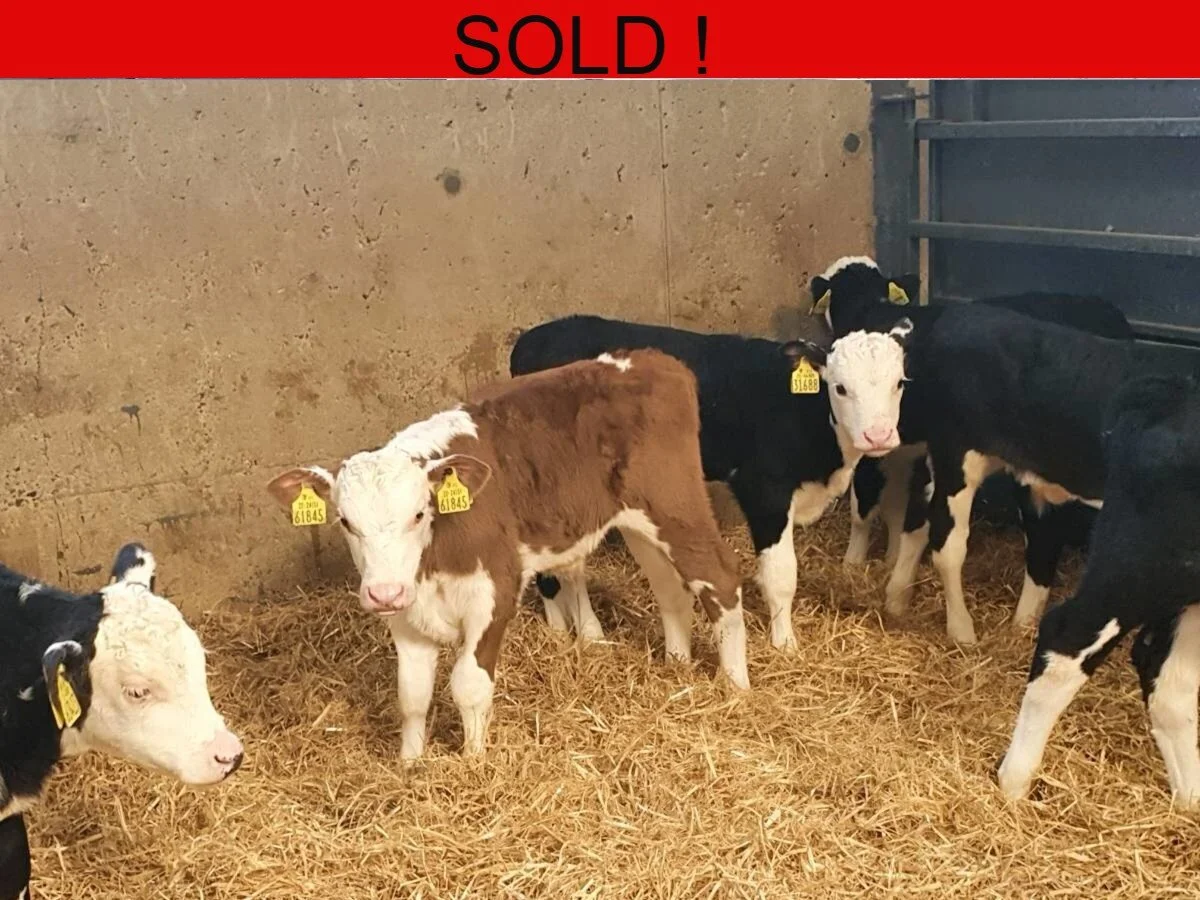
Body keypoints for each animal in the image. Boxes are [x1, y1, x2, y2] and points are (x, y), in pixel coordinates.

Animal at [266, 349, 758, 761]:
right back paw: (678, 665)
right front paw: (410, 764)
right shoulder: (405, 614)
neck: (435, 555)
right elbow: (411, 695)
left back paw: (735, 686)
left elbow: (468, 684)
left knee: (719, 576)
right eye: (345, 522)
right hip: (639, 522)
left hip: (675, 503)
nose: (383, 592)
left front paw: (473, 761)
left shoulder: (494, 592)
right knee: (670, 587)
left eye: (419, 513)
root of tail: (648, 359)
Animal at [508, 315, 914, 652]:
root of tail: (532, 338)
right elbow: (781, 574)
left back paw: (562, 627)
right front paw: (785, 644)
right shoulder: (763, 490)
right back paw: (581, 631)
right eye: (841, 388)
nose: (878, 436)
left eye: (899, 384)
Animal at [812, 255, 1135, 637]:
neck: (869, 308)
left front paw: (854, 564)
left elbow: (865, 507)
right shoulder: (915, 450)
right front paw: (894, 581)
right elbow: (908, 516)